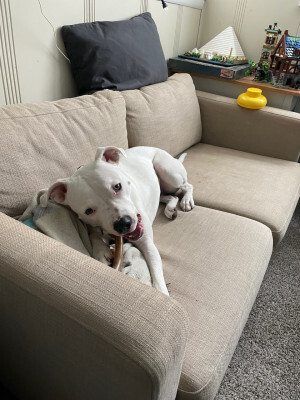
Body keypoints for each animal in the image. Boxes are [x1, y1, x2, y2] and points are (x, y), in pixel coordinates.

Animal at [40, 146, 195, 294]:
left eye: (117, 186)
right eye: (88, 211)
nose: (123, 224)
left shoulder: (148, 245)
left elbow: (157, 278)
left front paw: (162, 293)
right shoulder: (93, 226)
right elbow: (94, 234)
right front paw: (101, 250)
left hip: (168, 173)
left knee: (186, 186)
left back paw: (186, 200)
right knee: (168, 196)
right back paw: (170, 208)